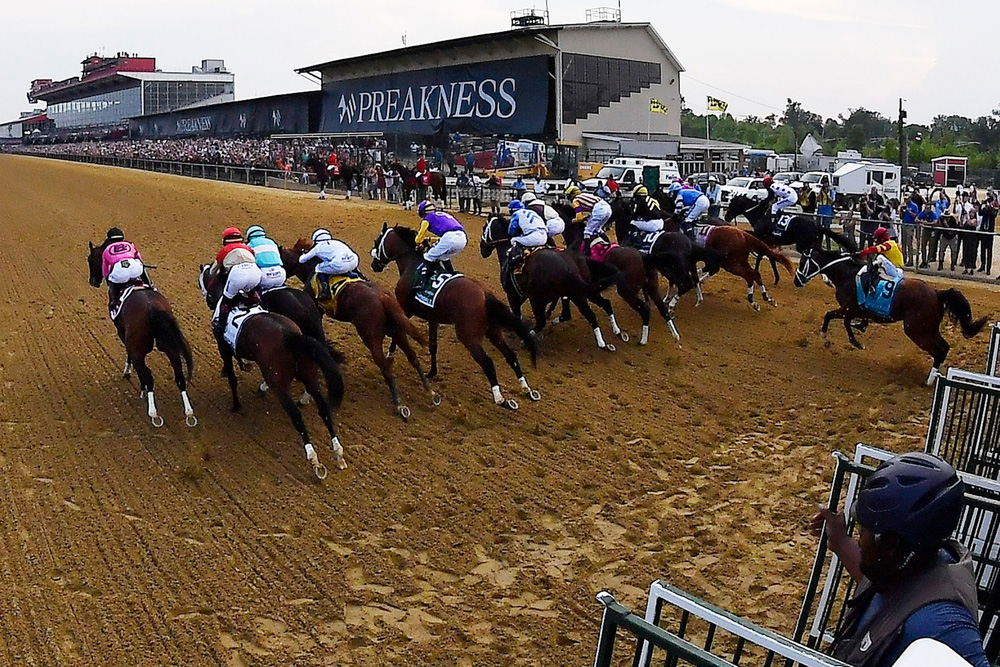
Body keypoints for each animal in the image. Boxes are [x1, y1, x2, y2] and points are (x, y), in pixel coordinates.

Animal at [87, 243, 195, 426]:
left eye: (90, 260)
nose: (93, 281)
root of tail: (153, 310)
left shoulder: (122, 331)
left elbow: (128, 355)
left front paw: (127, 372)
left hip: (138, 348)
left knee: (148, 376)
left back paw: (153, 413)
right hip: (171, 347)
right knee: (179, 376)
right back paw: (189, 413)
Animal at [199, 264, 348, 478]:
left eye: (205, 276)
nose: (201, 268)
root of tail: (289, 335)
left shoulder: (223, 346)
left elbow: (232, 377)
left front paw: (235, 404)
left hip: (281, 385)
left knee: (296, 417)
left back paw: (314, 460)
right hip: (309, 373)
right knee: (324, 409)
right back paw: (338, 453)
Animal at [282, 239, 438, 418]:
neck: (311, 268)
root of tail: (383, 298)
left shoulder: (316, 309)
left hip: (371, 337)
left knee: (385, 366)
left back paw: (399, 405)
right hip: (397, 331)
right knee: (413, 357)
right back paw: (430, 392)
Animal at [372, 224, 540, 410]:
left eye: (377, 241)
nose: (374, 264)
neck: (411, 264)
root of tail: (484, 294)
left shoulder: (404, 309)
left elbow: (398, 332)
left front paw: (390, 354)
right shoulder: (433, 318)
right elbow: (433, 345)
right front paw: (432, 372)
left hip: (468, 336)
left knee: (488, 363)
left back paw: (500, 398)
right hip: (493, 331)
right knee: (511, 356)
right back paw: (527, 389)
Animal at [792, 247, 988, 386]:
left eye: (802, 262)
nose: (797, 281)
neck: (847, 275)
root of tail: (937, 294)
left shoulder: (849, 308)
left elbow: (832, 316)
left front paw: (834, 338)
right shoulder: (854, 310)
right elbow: (845, 321)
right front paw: (856, 332)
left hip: (915, 330)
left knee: (939, 350)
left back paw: (929, 380)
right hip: (928, 328)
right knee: (945, 348)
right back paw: (933, 377)